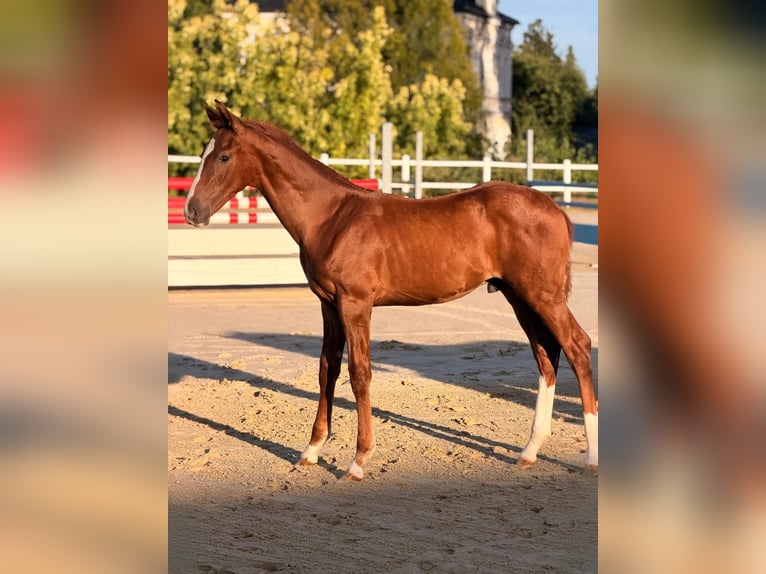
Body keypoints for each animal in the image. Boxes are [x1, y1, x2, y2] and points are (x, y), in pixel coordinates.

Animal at [185, 101, 597, 481]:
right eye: (205, 154)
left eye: (223, 156)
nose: (192, 211)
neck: (332, 217)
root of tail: (555, 209)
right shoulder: (328, 305)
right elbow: (327, 369)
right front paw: (311, 451)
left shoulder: (355, 304)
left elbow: (359, 373)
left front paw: (358, 461)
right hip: (519, 297)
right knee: (546, 356)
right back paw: (528, 452)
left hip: (542, 295)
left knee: (577, 346)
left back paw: (591, 459)